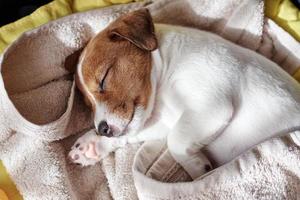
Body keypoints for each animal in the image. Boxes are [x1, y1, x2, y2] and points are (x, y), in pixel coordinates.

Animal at [69, 8, 300, 179]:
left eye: (104, 78)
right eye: (88, 105)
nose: (102, 129)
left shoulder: (210, 107)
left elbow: (175, 141)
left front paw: (199, 171)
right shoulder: (165, 121)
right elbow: (140, 134)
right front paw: (93, 145)